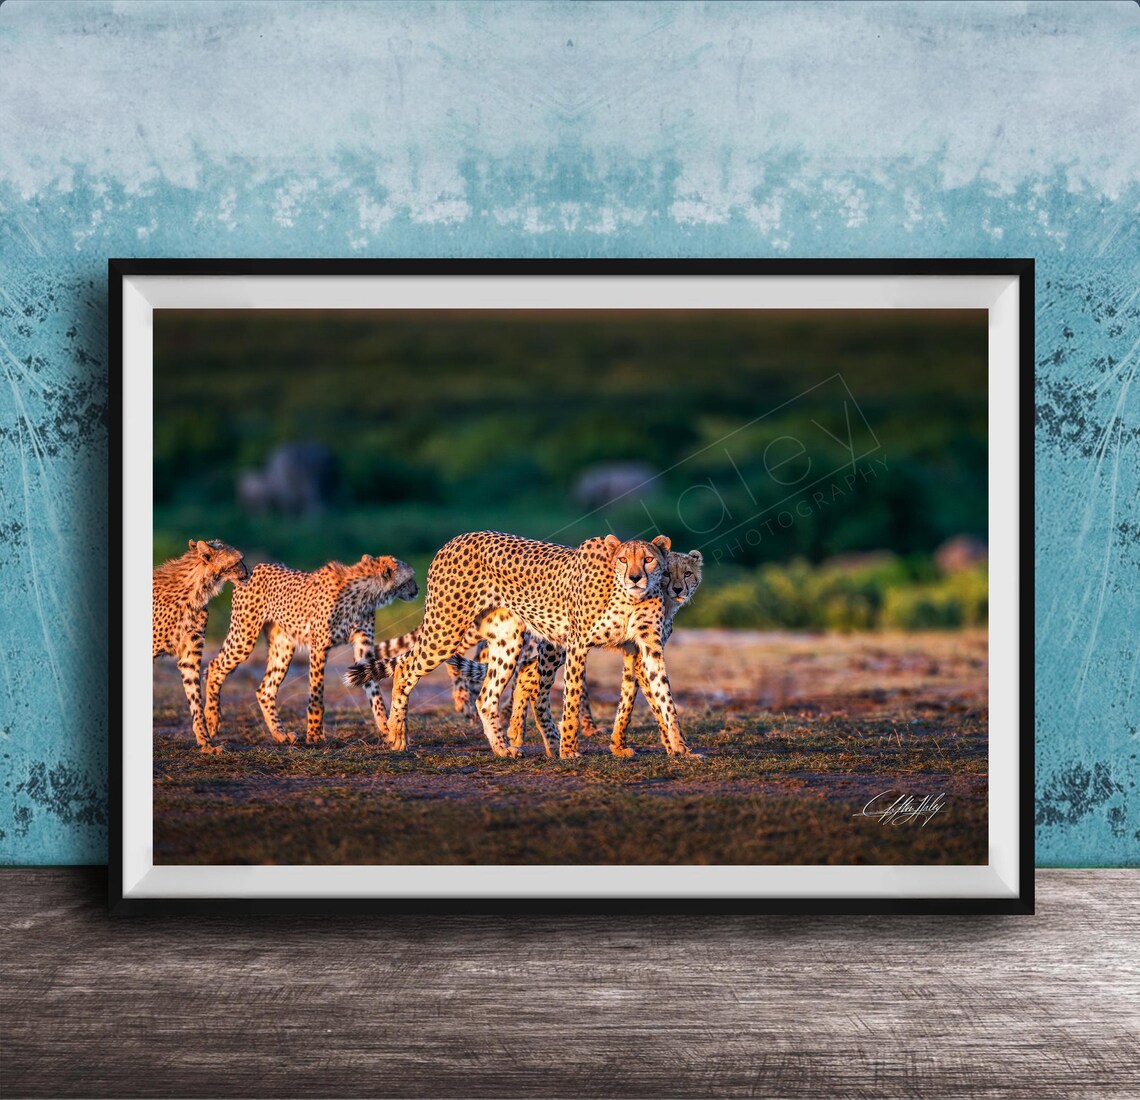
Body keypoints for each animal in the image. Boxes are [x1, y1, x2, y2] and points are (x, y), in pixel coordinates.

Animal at [152, 539, 250, 754]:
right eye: (237, 560)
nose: (249, 573)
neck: (196, 592)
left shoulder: (190, 657)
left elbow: (195, 699)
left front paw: (206, 743)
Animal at [204, 554, 417, 745]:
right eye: (410, 578)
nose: (418, 589)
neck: (366, 593)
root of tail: (256, 567)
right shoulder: (320, 647)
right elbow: (316, 695)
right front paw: (314, 735)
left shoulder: (363, 649)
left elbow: (374, 688)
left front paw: (387, 728)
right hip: (244, 637)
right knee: (214, 666)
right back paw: (212, 719)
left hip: (284, 647)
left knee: (265, 689)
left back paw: (281, 735)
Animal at [350, 530, 692, 759]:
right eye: (623, 559)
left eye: (648, 559)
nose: (635, 577)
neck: (627, 596)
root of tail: (455, 539)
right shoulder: (577, 645)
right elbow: (571, 699)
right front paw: (569, 750)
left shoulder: (647, 649)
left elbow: (665, 697)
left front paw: (682, 748)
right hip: (446, 630)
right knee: (405, 669)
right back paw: (396, 735)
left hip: (508, 640)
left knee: (486, 697)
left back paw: (503, 749)